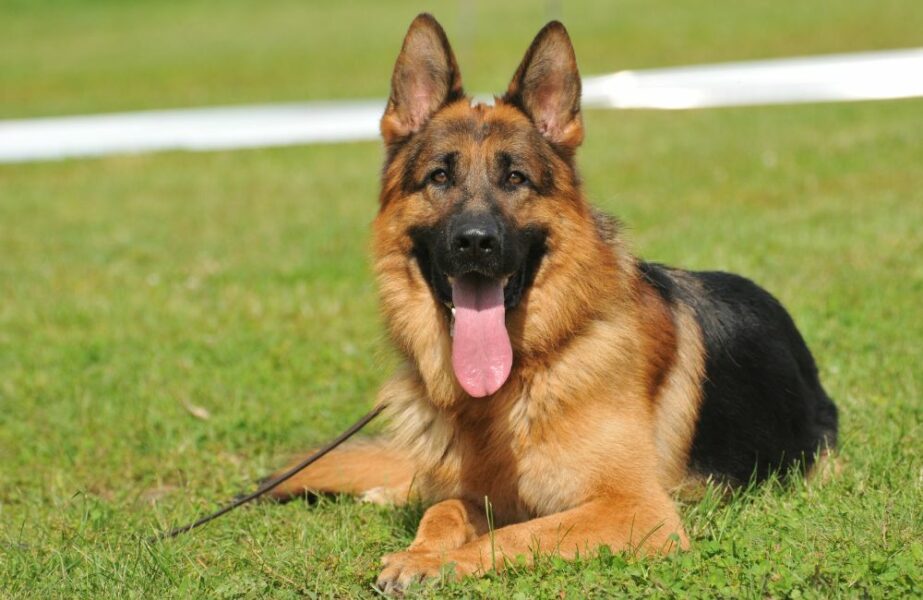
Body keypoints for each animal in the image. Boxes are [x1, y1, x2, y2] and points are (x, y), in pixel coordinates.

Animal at [266, 12, 836, 592]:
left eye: (515, 177)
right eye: (440, 176)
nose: (475, 242)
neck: (523, 374)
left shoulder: (637, 511)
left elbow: (518, 534)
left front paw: (433, 562)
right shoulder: (479, 493)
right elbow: (443, 510)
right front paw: (420, 548)